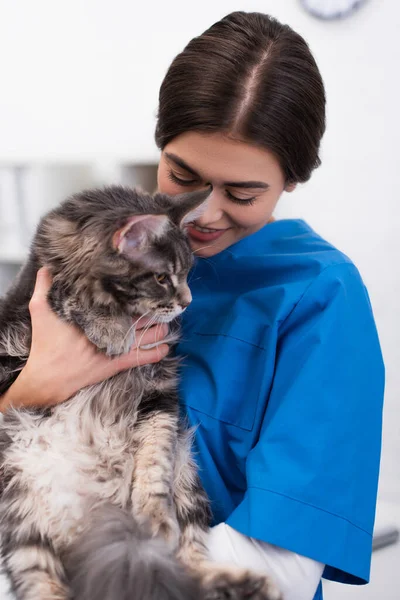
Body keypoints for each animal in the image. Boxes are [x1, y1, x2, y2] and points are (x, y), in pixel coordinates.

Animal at [0, 186, 282, 600]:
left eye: (186, 274)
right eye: (162, 278)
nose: (187, 302)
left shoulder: (159, 397)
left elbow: (152, 468)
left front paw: (155, 520)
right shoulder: (20, 326)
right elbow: (64, 296)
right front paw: (108, 330)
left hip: (187, 481)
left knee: (180, 570)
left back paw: (249, 582)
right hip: (22, 518)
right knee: (42, 585)